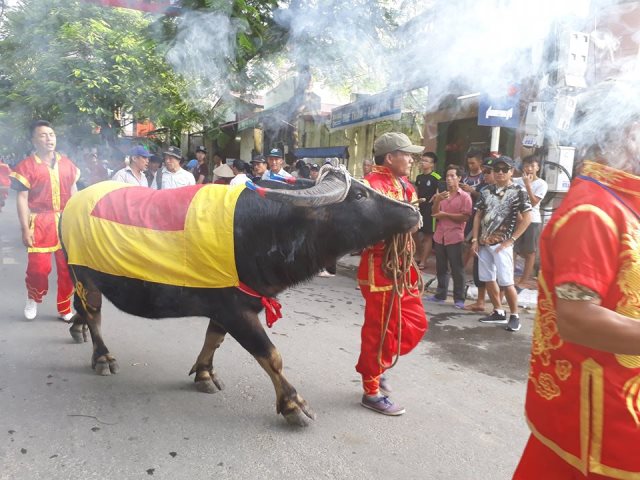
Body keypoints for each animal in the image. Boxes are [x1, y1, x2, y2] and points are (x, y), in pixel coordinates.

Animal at [60, 166, 420, 428]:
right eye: (359, 194)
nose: (413, 212)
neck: (260, 232)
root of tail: (72, 205)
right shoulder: (236, 310)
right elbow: (271, 355)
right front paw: (294, 405)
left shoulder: (229, 309)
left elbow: (213, 339)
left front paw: (204, 375)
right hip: (83, 273)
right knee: (94, 313)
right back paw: (102, 357)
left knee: (82, 307)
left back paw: (76, 328)